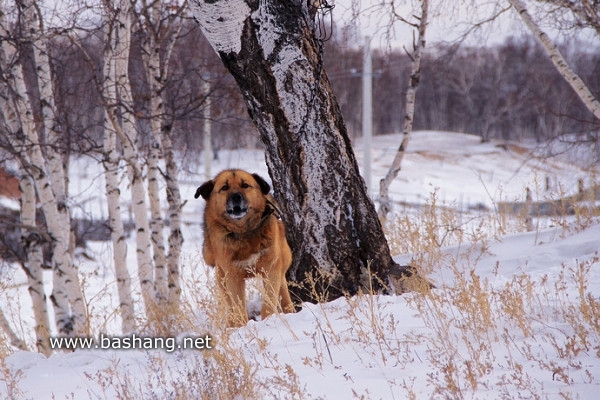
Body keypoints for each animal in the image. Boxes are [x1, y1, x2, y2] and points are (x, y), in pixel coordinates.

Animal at [195, 170, 296, 326]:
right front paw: (243, 326)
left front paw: (268, 321)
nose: (236, 196)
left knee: (284, 294)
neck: (244, 233)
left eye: (245, 185)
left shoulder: (271, 269)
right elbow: (238, 307)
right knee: (230, 306)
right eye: (224, 188)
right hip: (222, 278)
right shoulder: (233, 275)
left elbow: (269, 301)